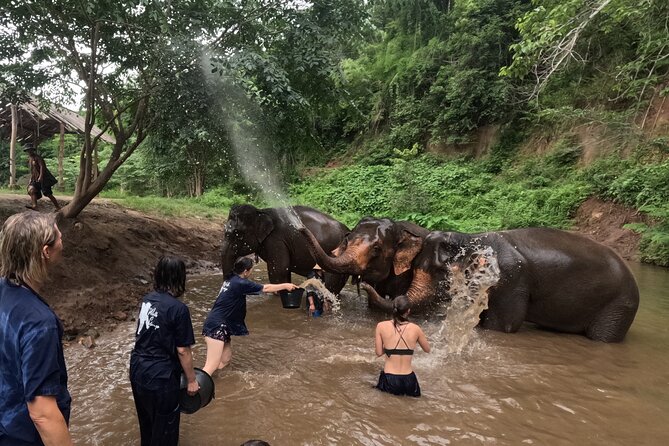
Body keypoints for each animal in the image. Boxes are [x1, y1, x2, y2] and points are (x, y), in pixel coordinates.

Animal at [363, 227, 639, 342]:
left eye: (439, 272)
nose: (365, 285)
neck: (472, 238)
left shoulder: (510, 279)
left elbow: (503, 326)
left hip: (618, 307)